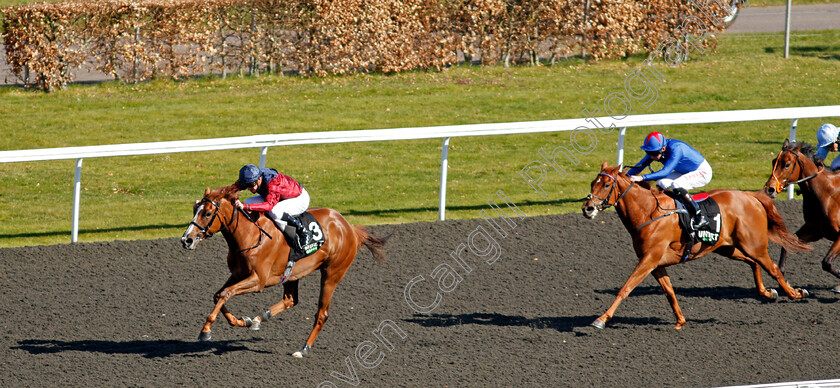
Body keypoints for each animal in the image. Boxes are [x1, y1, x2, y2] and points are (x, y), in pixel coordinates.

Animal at [181, 185, 390, 358]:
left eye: (208, 213)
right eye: (194, 209)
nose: (186, 240)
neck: (250, 235)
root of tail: (349, 227)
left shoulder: (258, 280)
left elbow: (226, 293)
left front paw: (206, 330)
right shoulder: (238, 274)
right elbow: (219, 295)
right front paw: (242, 321)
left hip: (332, 274)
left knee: (321, 314)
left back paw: (303, 349)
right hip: (292, 273)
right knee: (290, 300)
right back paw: (258, 318)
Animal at [580, 162, 812, 328]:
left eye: (606, 185)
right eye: (592, 183)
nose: (587, 208)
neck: (649, 212)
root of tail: (750, 195)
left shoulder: (649, 259)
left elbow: (626, 288)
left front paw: (601, 319)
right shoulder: (656, 264)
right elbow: (669, 292)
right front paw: (680, 321)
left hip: (754, 245)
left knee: (773, 268)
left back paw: (795, 293)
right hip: (728, 247)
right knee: (753, 264)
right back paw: (768, 292)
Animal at [764, 138, 840, 292]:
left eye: (787, 164)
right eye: (774, 161)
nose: (769, 189)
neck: (828, 194)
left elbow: (826, 263)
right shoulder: (814, 231)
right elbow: (788, 243)